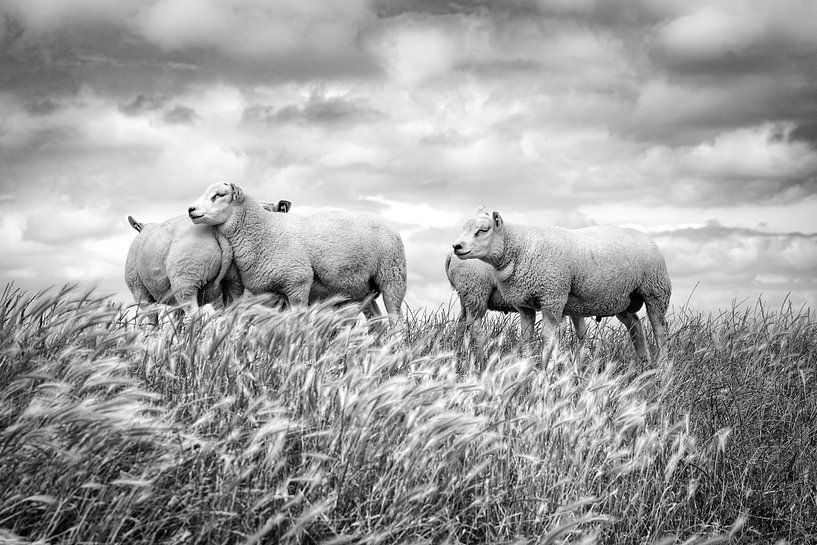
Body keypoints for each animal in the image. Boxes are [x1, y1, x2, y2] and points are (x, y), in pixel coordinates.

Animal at [187, 182, 407, 328]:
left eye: (219, 195)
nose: (191, 209)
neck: (266, 229)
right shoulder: (266, 292)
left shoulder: (298, 282)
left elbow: (296, 320)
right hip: (363, 289)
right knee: (376, 320)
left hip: (393, 278)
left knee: (395, 318)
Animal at [451, 206, 671, 367]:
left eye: (483, 230)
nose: (456, 246)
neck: (520, 248)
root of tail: (648, 238)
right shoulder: (525, 305)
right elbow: (526, 337)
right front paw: (525, 366)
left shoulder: (553, 297)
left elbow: (548, 338)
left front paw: (545, 369)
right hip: (621, 299)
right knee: (635, 325)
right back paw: (644, 364)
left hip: (655, 291)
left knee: (659, 329)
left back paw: (662, 366)